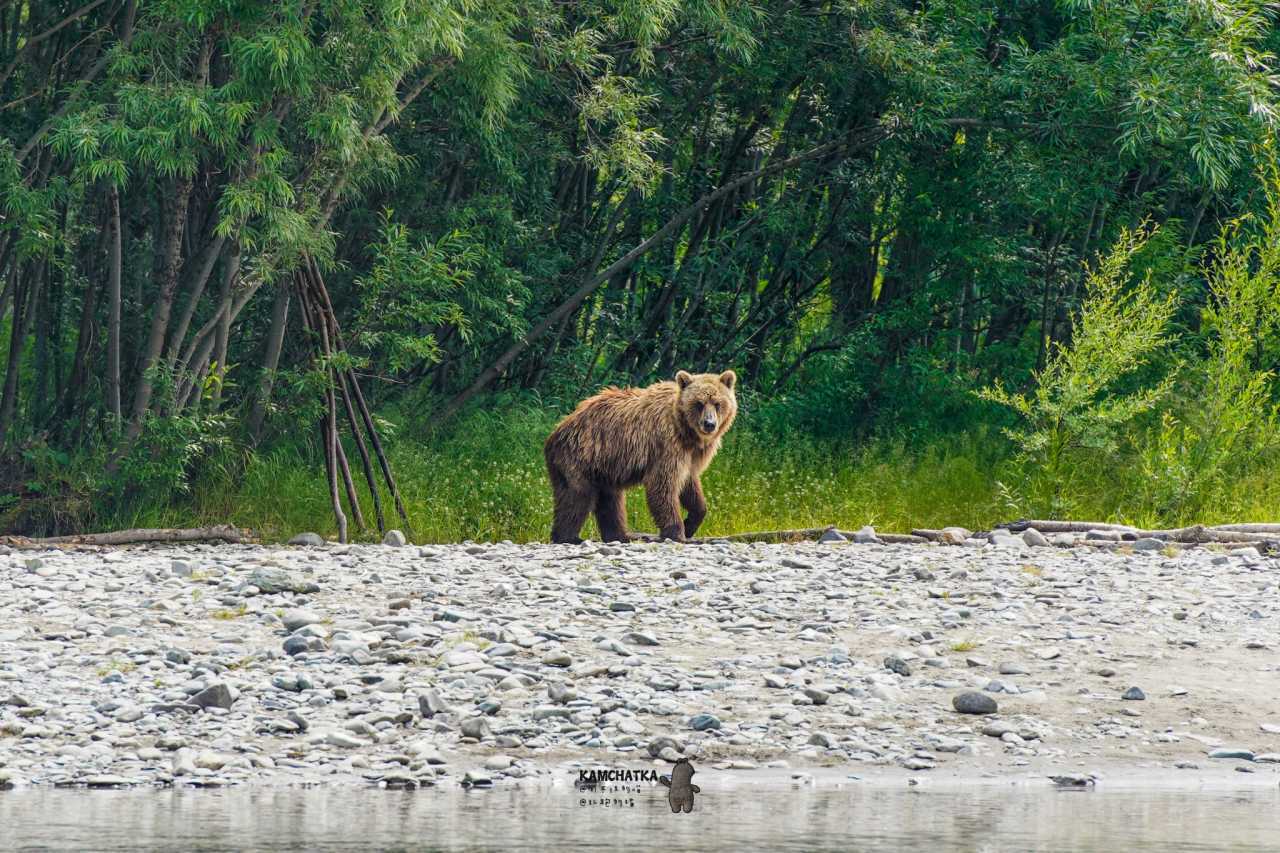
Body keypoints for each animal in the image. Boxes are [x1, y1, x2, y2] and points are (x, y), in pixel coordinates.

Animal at [542, 366, 742, 540]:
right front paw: (676, 531)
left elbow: (690, 486)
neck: (686, 431)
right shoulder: (666, 445)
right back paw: (569, 536)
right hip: (581, 456)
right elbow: (662, 484)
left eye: (717, 403)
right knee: (576, 496)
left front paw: (690, 524)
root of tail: (557, 431)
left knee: (610, 501)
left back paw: (621, 535)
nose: (709, 424)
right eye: (699, 403)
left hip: (604, 467)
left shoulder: (691, 455)